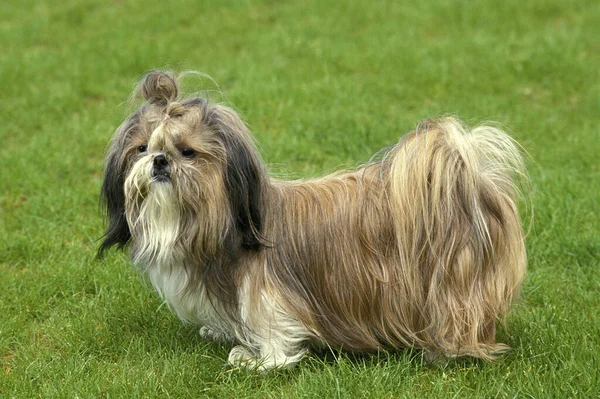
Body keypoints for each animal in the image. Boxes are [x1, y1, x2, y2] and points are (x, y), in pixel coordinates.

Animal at [99, 70, 524, 370]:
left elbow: (274, 330)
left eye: (187, 152)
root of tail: (472, 187)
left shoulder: (266, 292)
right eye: (141, 148)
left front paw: (259, 360)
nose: (159, 161)